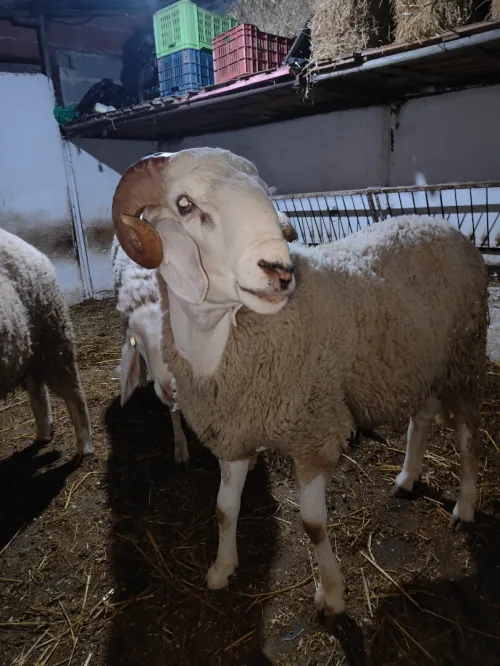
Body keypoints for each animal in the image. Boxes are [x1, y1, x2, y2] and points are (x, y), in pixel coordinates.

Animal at [0, 228, 92, 458]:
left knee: (73, 394)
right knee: (38, 392)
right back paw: (43, 433)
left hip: (53, 337)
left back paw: (84, 445)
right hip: (30, 349)